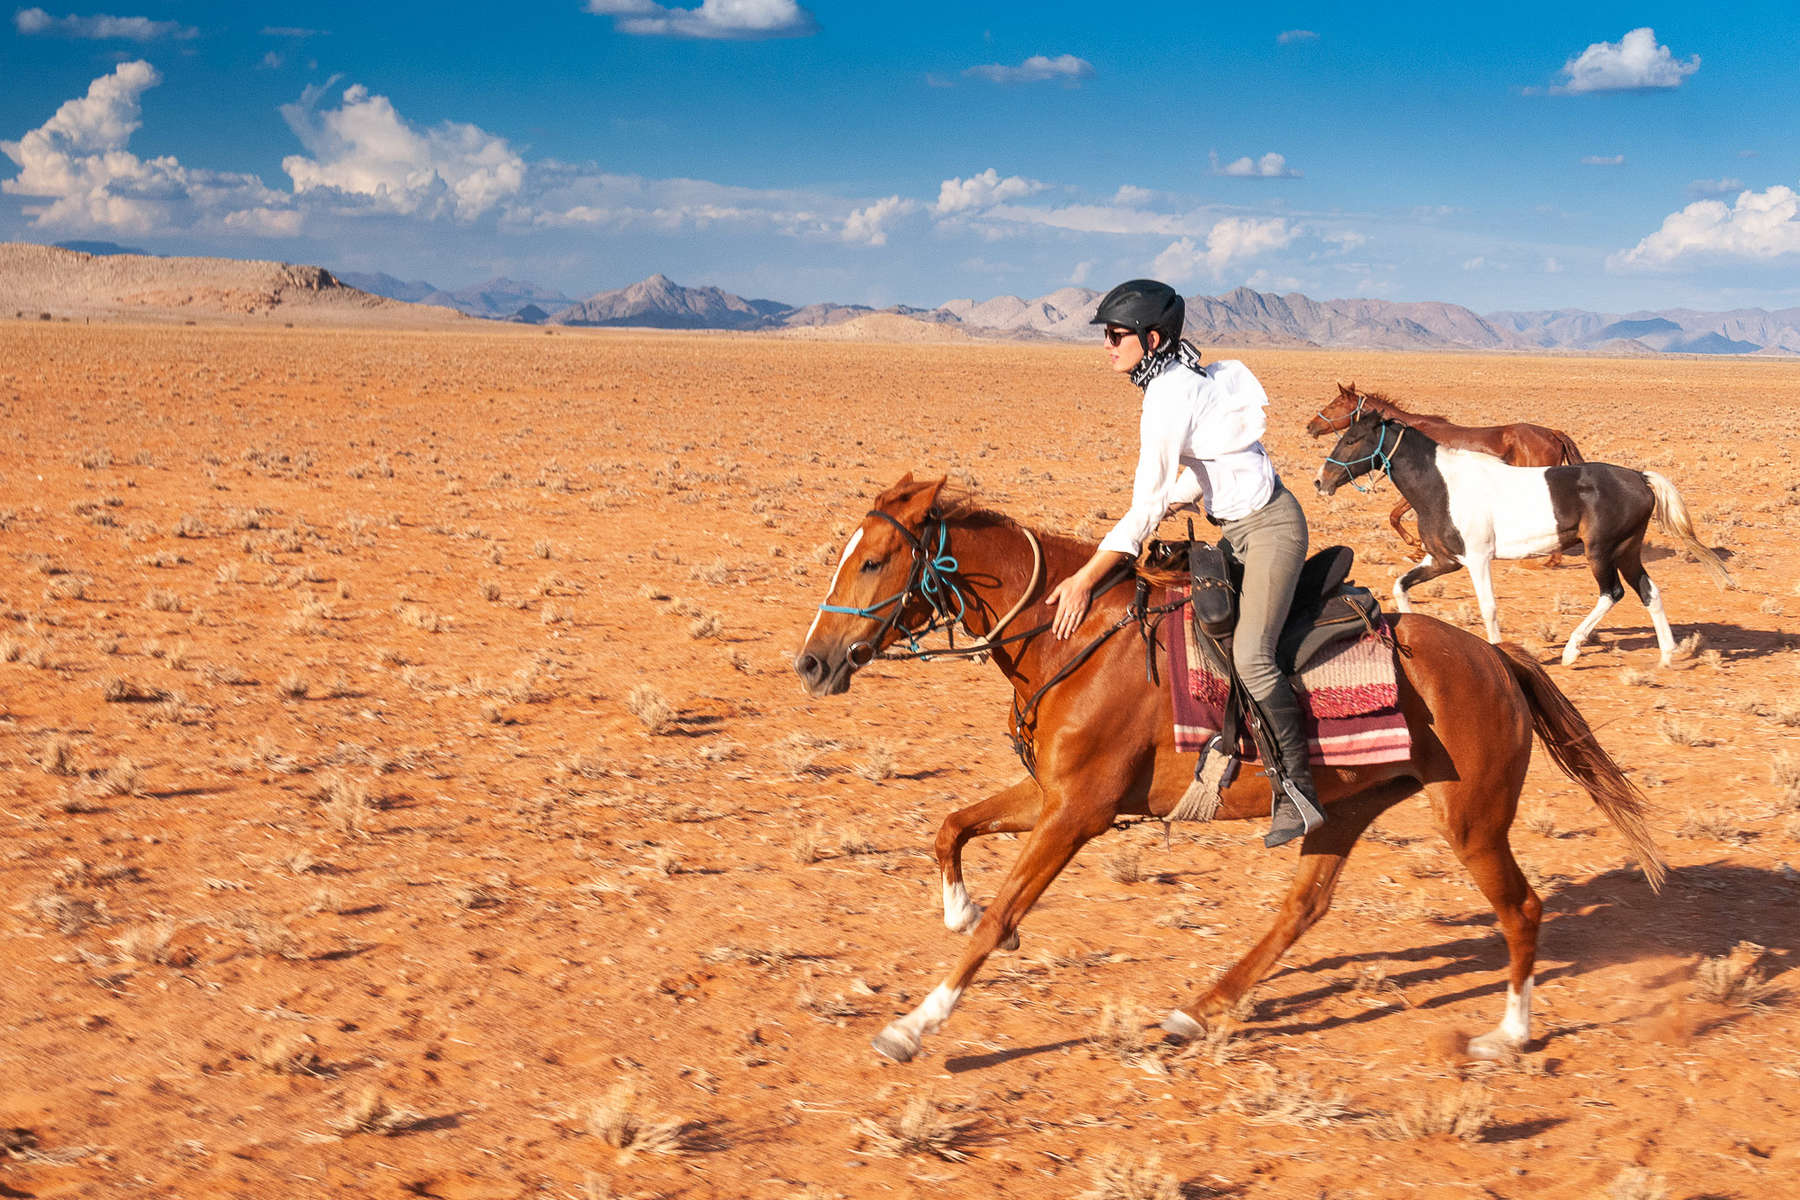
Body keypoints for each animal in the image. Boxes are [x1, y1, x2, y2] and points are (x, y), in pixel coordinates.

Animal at [795, 474, 1663, 1065]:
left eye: (873, 561)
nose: (812, 662)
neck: (1073, 637)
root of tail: (1494, 659)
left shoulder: (1079, 810)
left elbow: (1004, 909)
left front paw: (915, 1024)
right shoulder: (1052, 793)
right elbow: (951, 828)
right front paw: (957, 910)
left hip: (1473, 819)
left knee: (1521, 908)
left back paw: (1507, 1034)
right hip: (1347, 807)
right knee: (1304, 909)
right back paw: (1200, 1007)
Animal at [1303, 383, 1584, 557]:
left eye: (1334, 404)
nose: (1310, 426)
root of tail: (1553, 433)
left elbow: (1395, 516)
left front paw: (1416, 544)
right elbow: (1395, 516)